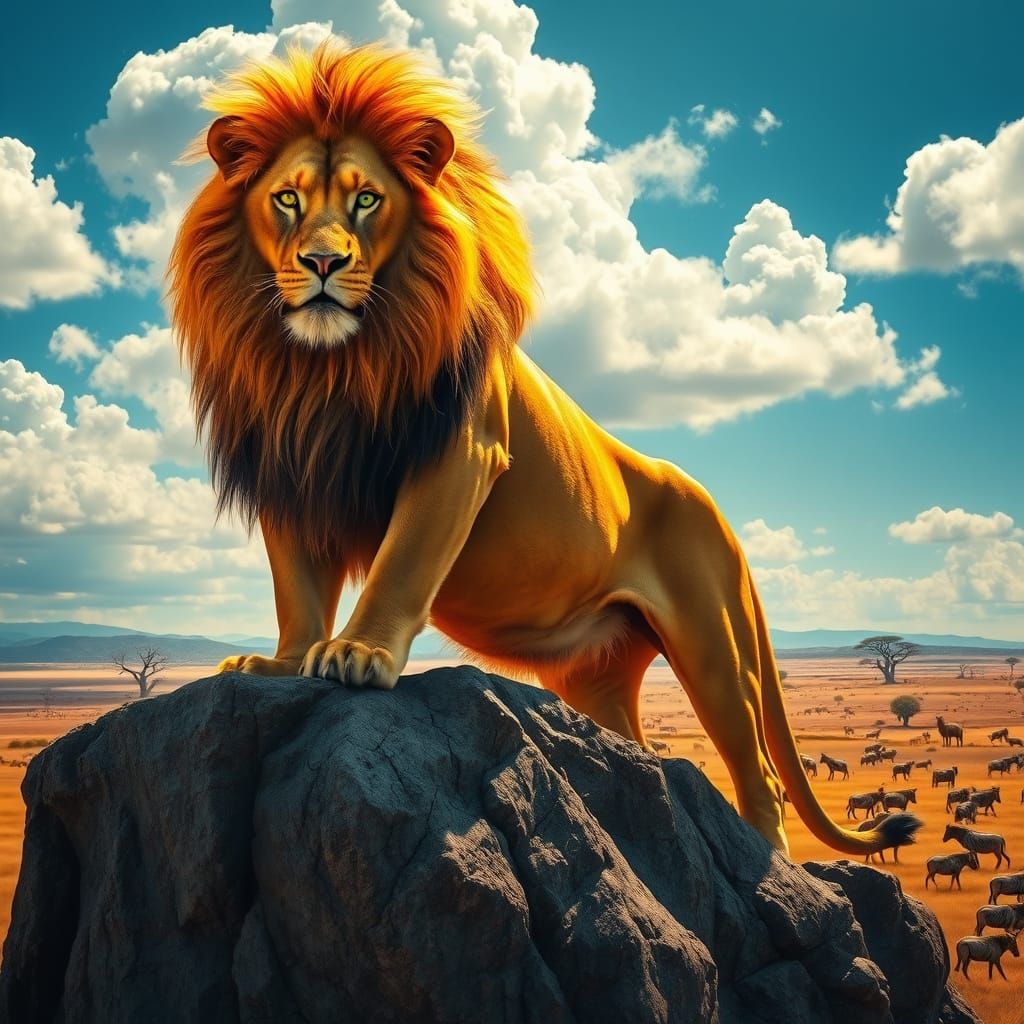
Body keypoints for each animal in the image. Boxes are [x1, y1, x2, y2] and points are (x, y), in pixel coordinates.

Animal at [168, 40, 919, 858]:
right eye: (287, 199)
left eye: (366, 200)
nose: (323, 263)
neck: (325, 369)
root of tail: (718, 512)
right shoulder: (291, 469)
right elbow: (297, 588)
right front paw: (280, 662)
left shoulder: (462, 452)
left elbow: (401, 562)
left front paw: (360, 654)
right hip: (595, 672)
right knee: (639, 755)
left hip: (713, 643)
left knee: (761, 777)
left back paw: (766, 863)